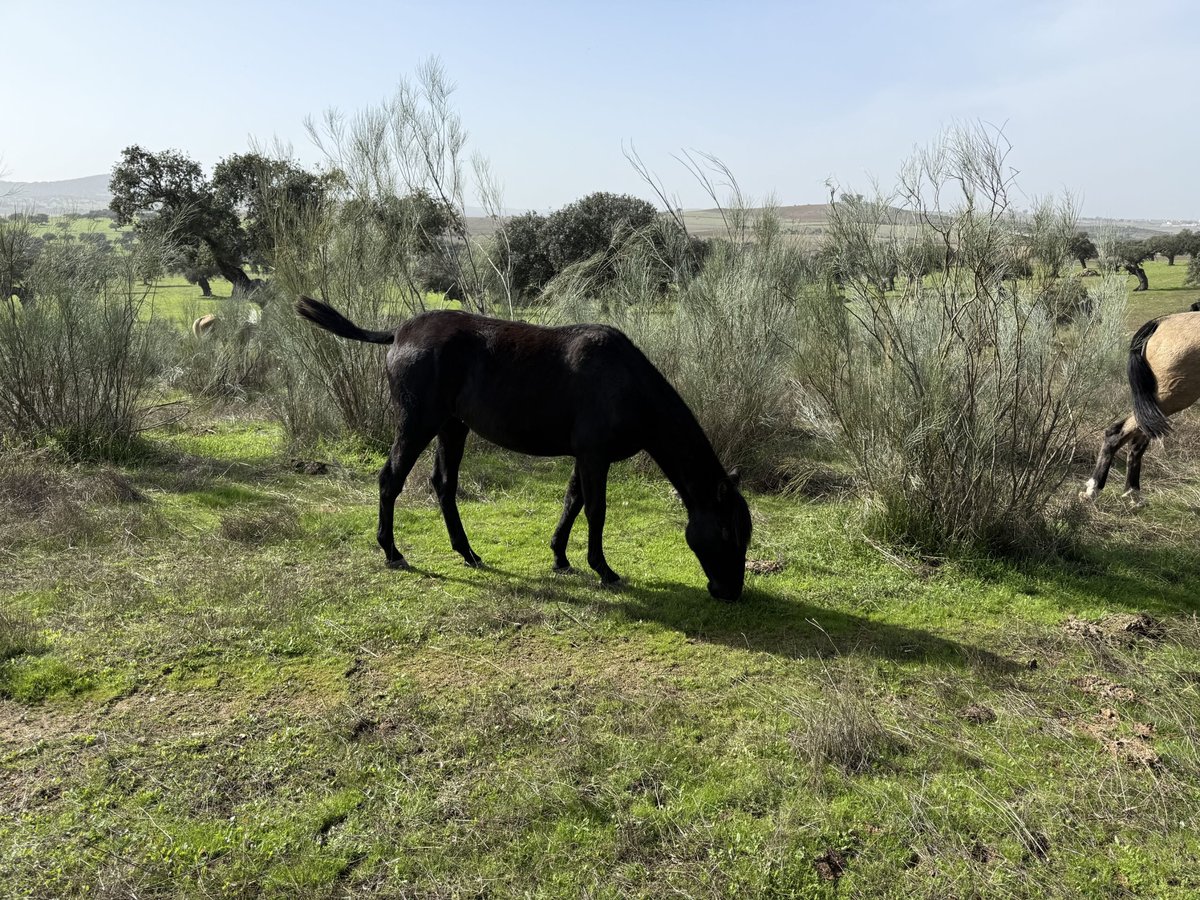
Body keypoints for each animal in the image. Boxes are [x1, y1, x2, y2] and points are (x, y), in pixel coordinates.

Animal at [295, 300, 748, 602]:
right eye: (728, 533)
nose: (730, 592)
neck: (627, 383)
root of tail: (401, 332)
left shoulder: (585, 456)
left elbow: (573, 501)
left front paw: (560, 558)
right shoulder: (594, 456)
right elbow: (595, 510)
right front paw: (603, 569)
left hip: (451, 426)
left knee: (444, 484)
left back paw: (467, 552)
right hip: (418, 423)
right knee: (391, 479)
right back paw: (392, 551)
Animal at [1080, 309, 1200, 508]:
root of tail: (1162, 321)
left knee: (1137, 442)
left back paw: (1132, 493)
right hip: (1167, 399)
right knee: (1118, 433)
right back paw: (1093, 489)